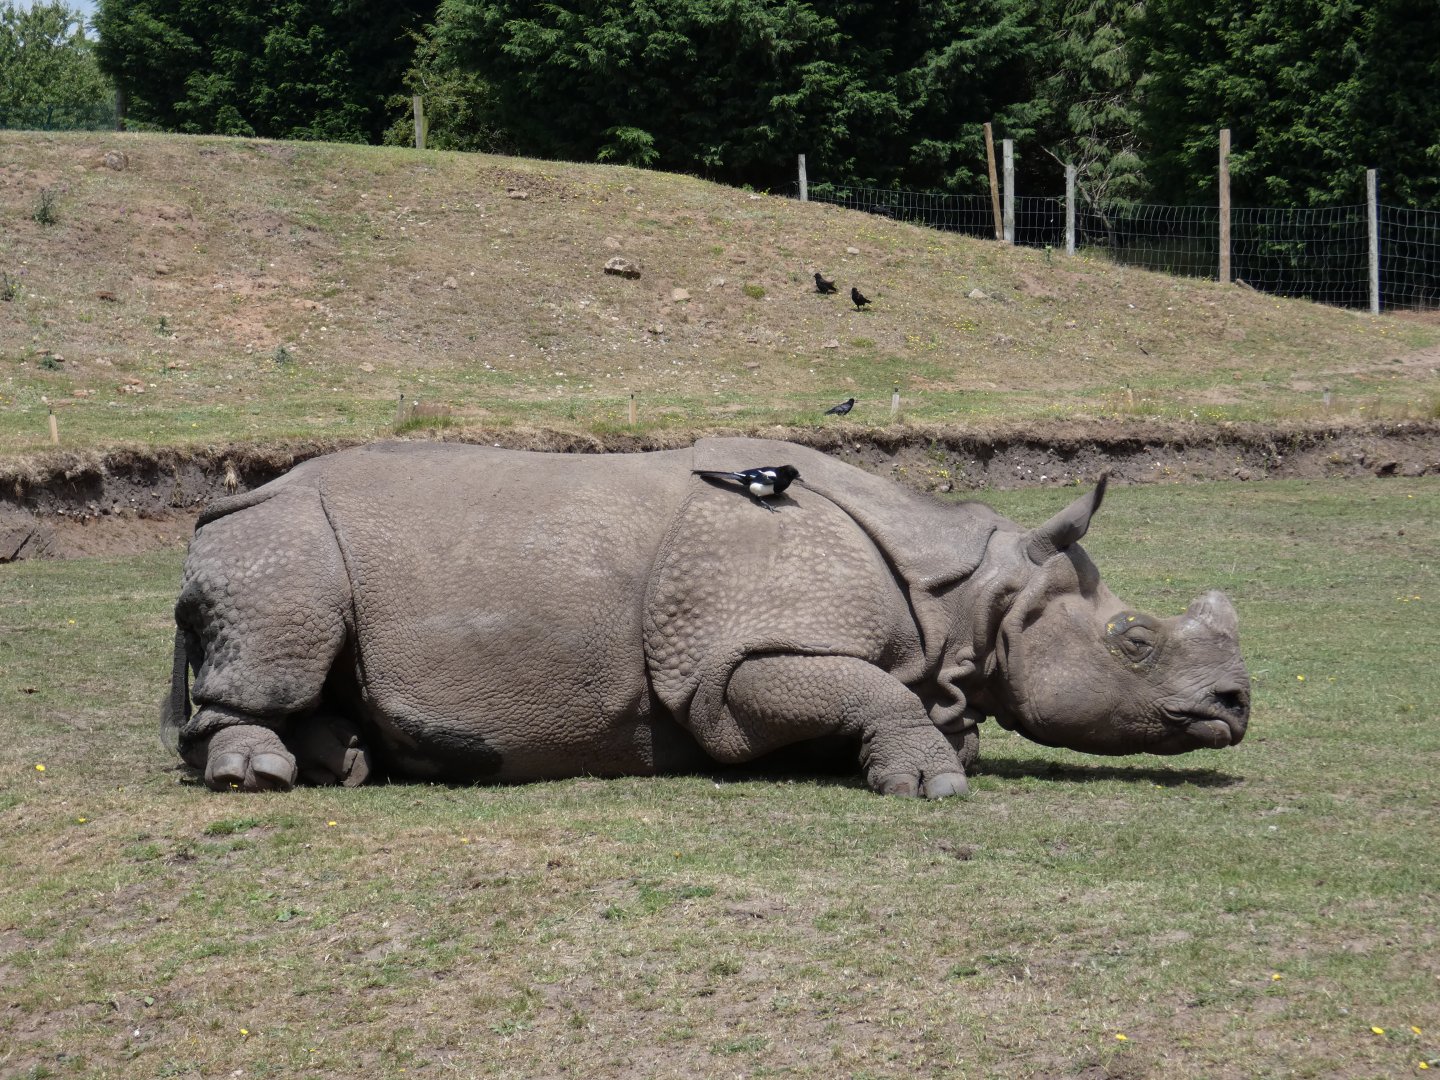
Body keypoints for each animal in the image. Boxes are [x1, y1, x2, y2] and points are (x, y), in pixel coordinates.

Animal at [162, 438, 1249, 797]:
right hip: (281, 535)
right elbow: (861, 690)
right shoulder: (730, 659)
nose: (1237, 706)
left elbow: (883, 698)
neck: (969, 595)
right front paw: (934, 783)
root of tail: (226, 504)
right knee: (278, 640)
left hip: (277, 533)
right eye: (1135, 642)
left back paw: (343, 762)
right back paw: (260, 777)